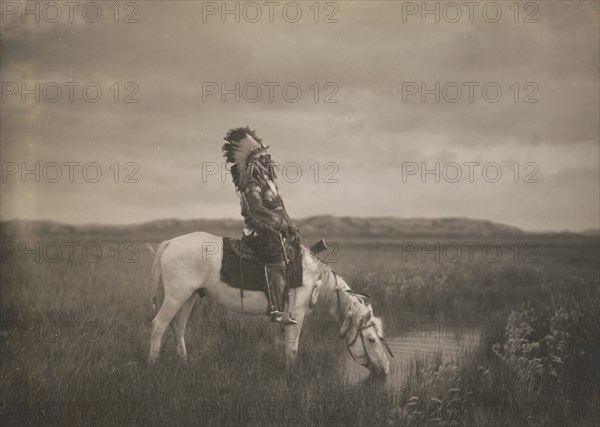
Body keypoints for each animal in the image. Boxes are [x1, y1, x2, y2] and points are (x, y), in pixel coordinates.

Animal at [149, 232, 394, 376]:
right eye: (371, 339)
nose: (385, 370)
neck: (313, 278)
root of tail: (170, 243)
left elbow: (287, 346)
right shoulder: (297, 313)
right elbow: (292, 347)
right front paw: (291, 374)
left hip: (189, 296)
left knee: (178, 327)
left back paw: (184, 362)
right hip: (176, 296)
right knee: (159, 325)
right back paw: (154, 364)